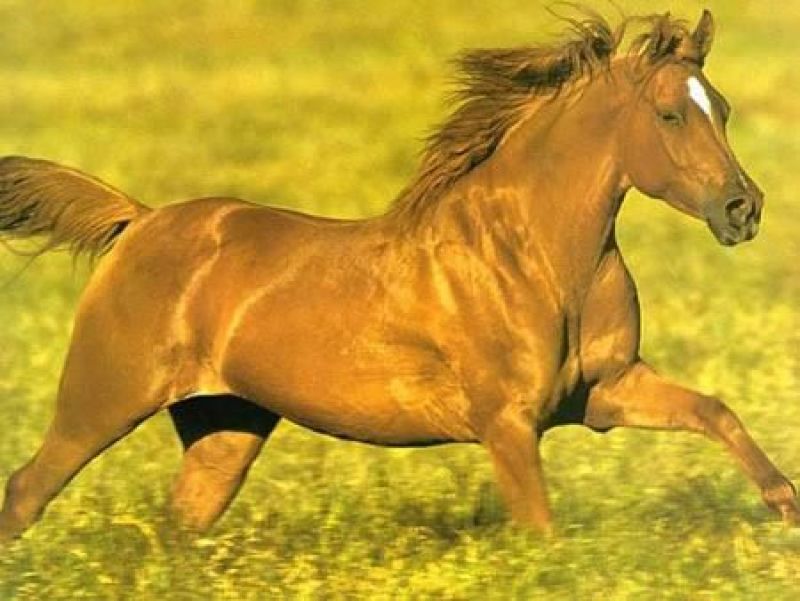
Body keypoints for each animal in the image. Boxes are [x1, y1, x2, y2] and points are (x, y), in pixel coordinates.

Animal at [0, 8, 797, 541]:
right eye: (668, 115)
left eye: (722, 109)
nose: (743, 208)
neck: (534, 258)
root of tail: (138, 221)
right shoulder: (508, 423)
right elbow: (541, 528)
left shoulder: (602, 392)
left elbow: (713, 409)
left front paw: (784, 503)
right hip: (103, 399)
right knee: (27, 488)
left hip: (225, 424)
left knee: (181, 523)